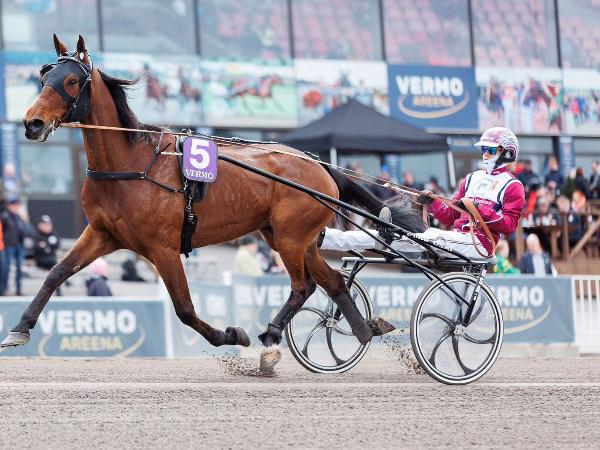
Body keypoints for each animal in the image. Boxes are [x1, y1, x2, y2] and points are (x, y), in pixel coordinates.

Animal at [5, 35, 425, 371]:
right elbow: (56, 273)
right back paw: (363, 330)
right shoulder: (103, 233)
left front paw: (232, 335)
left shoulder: (162, 247)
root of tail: (317, 164)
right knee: (334, 280)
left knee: (302, 286)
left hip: (291, 237)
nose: (32, 123)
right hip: (288, 238)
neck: (132, 164)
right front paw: (19, 329)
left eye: (71, 80)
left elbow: (184, 308)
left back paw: (272, 334)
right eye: (43, 77)